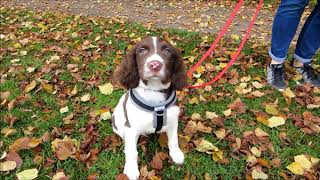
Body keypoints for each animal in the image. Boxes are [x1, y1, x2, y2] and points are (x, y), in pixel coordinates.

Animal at [113, 36, 186, 179]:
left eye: (167, 51)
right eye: (142, 50)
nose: (155, 65)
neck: (154, 91)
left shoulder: (173, 121)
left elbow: (173, 140)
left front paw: (176, 154)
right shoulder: (131, 127)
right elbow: (131, 151)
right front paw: (131, 170)